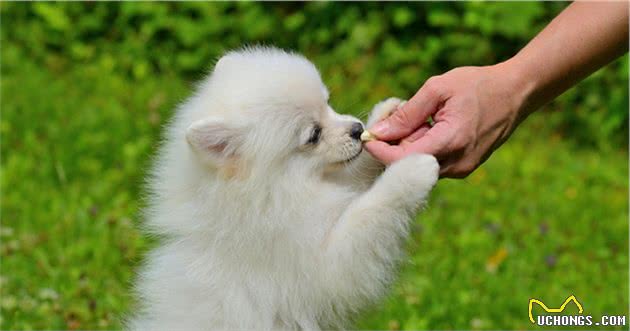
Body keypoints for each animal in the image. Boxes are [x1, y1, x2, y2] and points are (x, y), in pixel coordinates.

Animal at [131, 47, 440, 331]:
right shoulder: (322, 267)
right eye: (313, 135)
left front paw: (385, 117)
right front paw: (414, 170)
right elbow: (370, 211)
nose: (356, 128)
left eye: (328, 103)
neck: (274, 193)